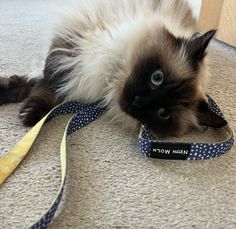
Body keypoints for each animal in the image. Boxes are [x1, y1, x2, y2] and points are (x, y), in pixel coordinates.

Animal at [0, 0, 227, 136]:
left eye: (164, 113)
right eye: (157, 77)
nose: (138, 101)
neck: (111, 79)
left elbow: (43, 86)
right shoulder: (73, 45)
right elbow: (48, 84)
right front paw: (27, 112)